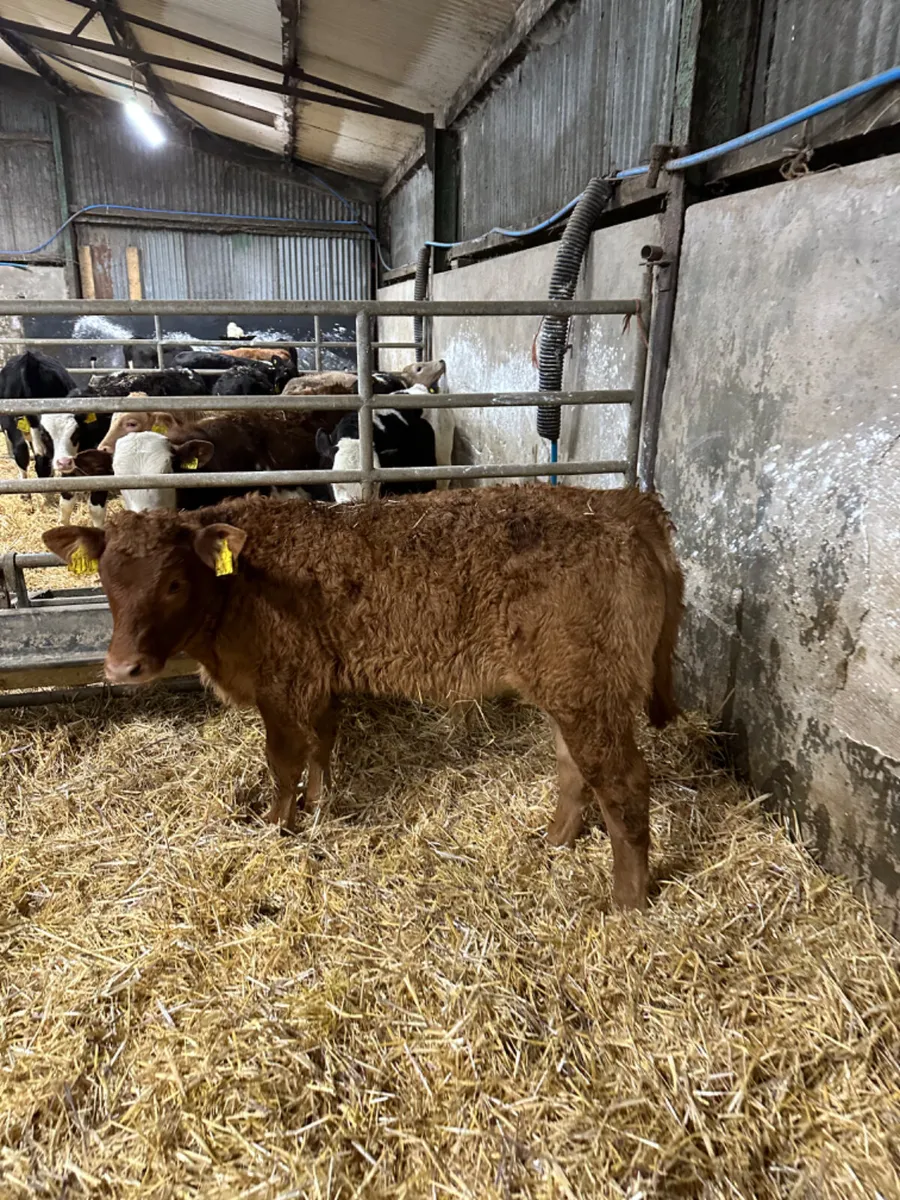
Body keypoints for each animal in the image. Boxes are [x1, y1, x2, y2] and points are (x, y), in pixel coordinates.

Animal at [44, 485, 683, 911]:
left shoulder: (283, 680)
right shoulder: (320, 679)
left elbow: (282, 760)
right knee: (575, 768)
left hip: (588, 687)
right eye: (104, 580)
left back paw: (626, 902)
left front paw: (276, 826)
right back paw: (555, 842)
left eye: (174, 583)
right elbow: (323, 742)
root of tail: (620, 503)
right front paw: (320, 805)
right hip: (570, 689)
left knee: (623, 782)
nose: (122, 667)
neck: (240, 584)